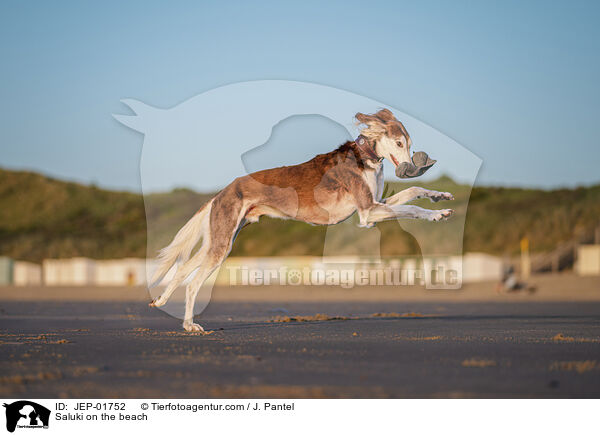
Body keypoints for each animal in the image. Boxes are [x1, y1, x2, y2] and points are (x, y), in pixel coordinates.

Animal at [150, 109, 454, 330]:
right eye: (399, 143)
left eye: (410, 144)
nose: (411, 167)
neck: (365, 158)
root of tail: (221, 192)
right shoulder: (368, 212)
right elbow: (413, 208)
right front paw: (435, 215)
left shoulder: (374, 207)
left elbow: (414, 191)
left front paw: (440, 197)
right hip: (221, 244)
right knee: (192, 283)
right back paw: (190, 325)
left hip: (221, 240)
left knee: (182, 267)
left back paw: (161, 300)